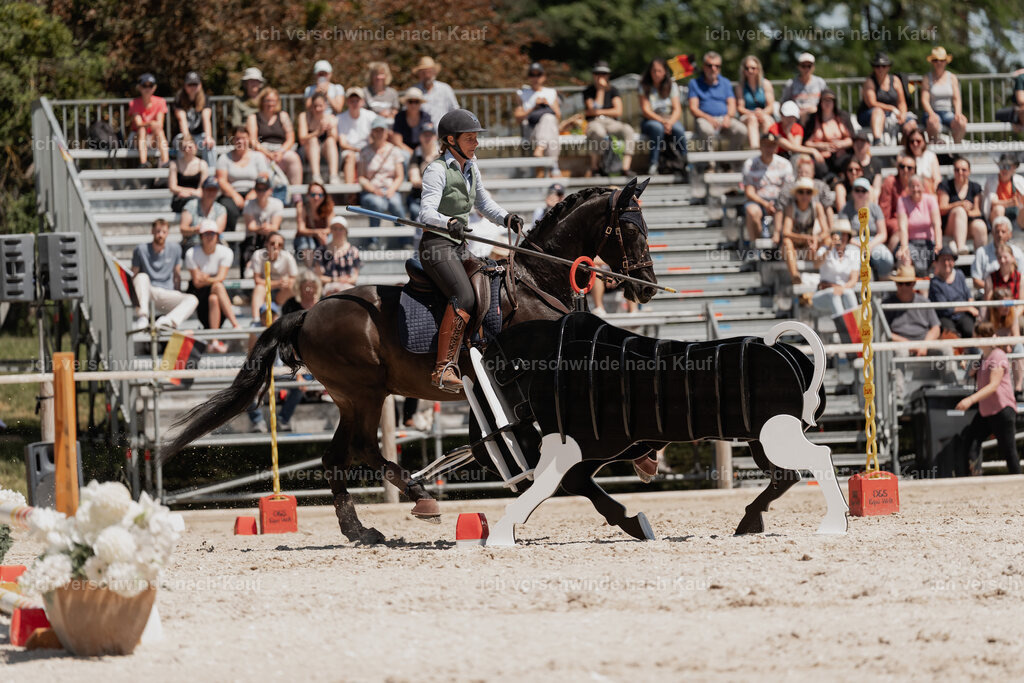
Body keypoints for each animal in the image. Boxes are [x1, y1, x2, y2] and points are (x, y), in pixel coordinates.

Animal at [160, 178, 661, 543]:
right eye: (632, 229)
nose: (647, 287)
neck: (536, 281)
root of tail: (306, 312)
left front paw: (645, 457)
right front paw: (635, 482)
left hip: (350, 398)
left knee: (334, 456)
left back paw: (360, 530)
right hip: (365, 392)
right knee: (363, 449)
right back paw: (419, 496)